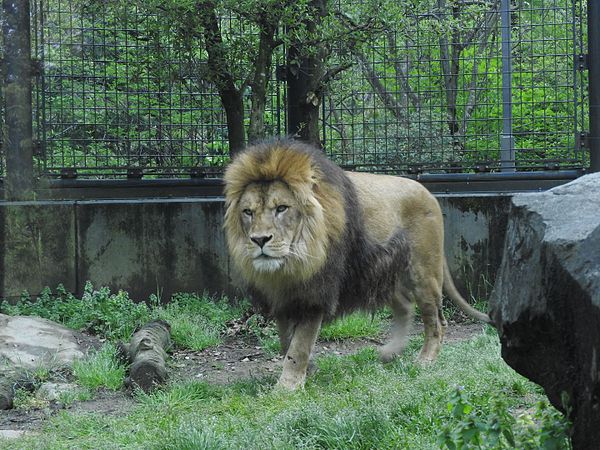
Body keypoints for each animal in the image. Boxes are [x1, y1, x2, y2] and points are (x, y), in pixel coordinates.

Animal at [223, 139, 490, 388]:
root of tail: (429, 193)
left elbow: (298, 347)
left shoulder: (315, 295)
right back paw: (390, 352)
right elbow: (286, 341)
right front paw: (308, 371)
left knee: (436, 320)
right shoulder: (283, 299)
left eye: (281, 208)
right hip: (383, 273)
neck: (291, 264)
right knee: (405, 306)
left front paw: (287, 388)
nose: (259, 240)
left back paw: (425, 360)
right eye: (248, 212)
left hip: (424, 273)